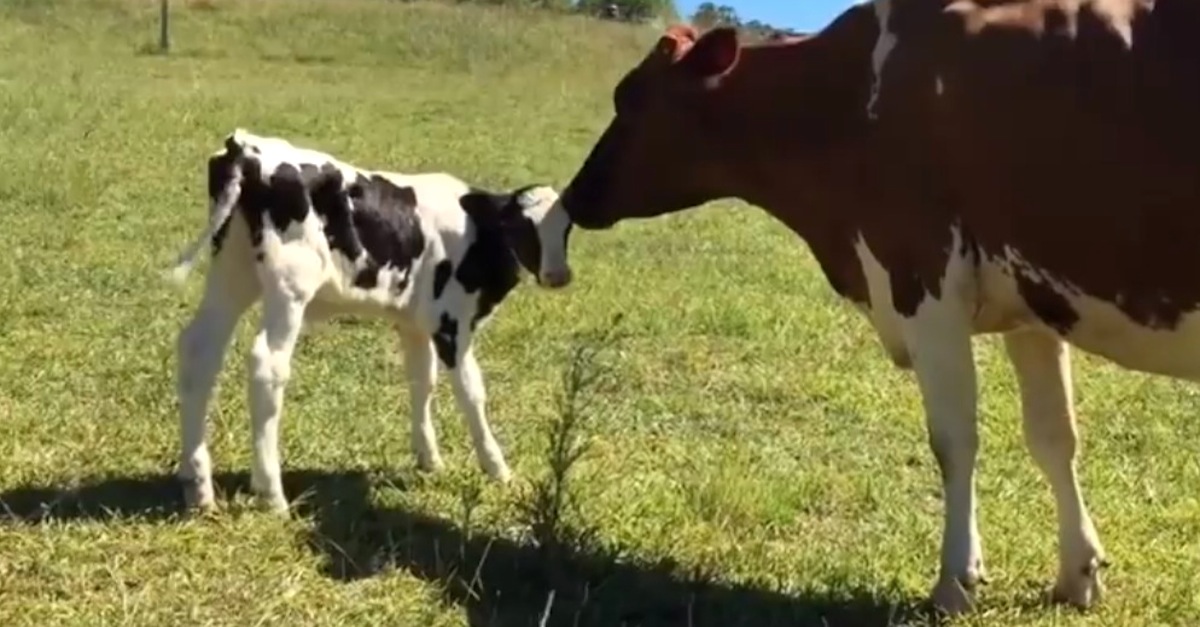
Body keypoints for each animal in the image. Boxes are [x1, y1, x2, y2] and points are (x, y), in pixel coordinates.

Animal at [166, 127, 573, 511]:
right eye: (521, 228)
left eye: (566, 228)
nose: (559, 275)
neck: (477, 233)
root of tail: (246, 147)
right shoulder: (451, 323)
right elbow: (472, 392)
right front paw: (498, 468)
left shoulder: (414, 322)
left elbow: (422, 381)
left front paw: (429, 458)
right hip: (290, 287)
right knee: (267, 365)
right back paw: (272, 495)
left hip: (232, 272)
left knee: (199, 351)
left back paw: (198, 486)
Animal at [552, 0, 1200, 612]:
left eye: (630, 98)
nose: (576, 195)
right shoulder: (1032, 296)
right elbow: (1053, 437)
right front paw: (1076, 574)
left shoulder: (921, 278)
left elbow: (954, 441)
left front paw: (955, 581)